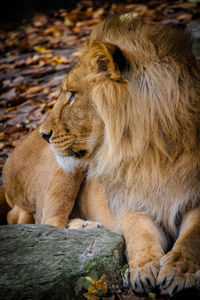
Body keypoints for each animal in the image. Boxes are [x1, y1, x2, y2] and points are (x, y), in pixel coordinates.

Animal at [1, 15, 200, 296]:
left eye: (72, 95)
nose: (44, 134)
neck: (156, 150)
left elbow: (192, 238)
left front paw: (179, 271)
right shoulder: (129, 204)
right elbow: (140, 237)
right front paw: (141, 268)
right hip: (66, 169)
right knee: (44, 221)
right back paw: (84, 226)